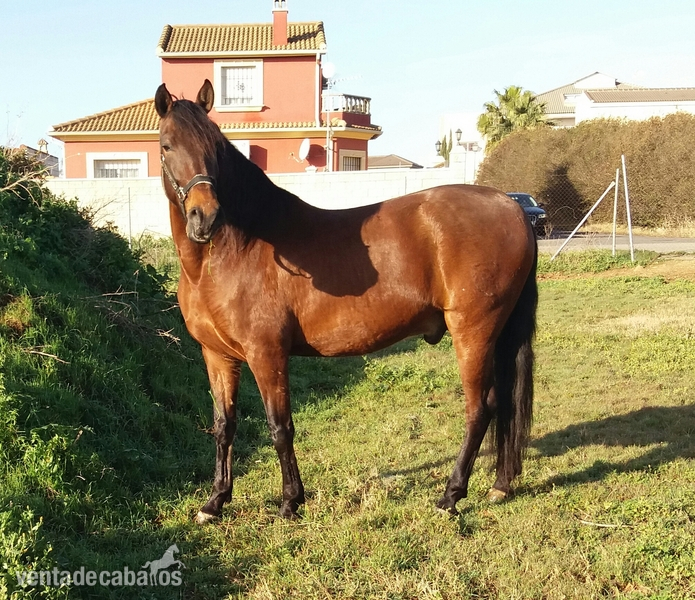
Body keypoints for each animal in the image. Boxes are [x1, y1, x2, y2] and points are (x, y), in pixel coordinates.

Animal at [154, 79, 538, 524]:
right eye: (166, 145)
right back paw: (499, 485)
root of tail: (510, 206)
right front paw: (214, 502)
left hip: (474, 332)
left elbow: (279, 427)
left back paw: (450, 495)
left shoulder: (266, 354)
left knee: (481, 408)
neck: (234, 250)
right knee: (503, 405)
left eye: (215, 147)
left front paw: (290, 501)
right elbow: (223, 426)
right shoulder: (217, 355)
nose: (206, 217)